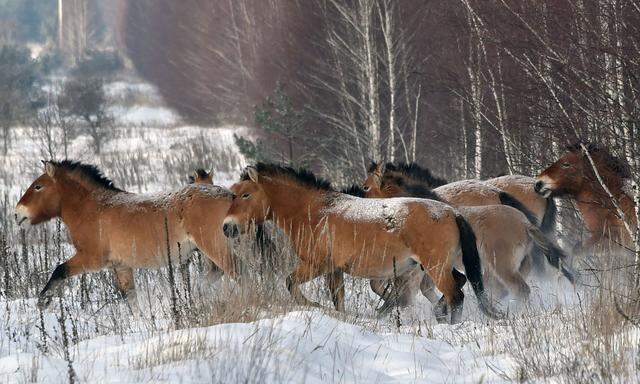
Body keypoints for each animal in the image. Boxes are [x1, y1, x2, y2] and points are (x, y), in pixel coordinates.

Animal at [17, 160, 238, 310]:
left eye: (38, 186)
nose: (17, 214)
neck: (93, 209)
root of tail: (231, 197)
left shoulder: (91, 259)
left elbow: (59, 270)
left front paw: (43, 301)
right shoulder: (121, 267)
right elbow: (131, 300)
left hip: (214, 247)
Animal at [222, 164, 502, 322]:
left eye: (245, 194)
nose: (227, 227)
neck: (314, 212)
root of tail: (452, 213)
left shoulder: (316, 265)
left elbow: (290, 283)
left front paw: (314, 306)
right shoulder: (334, 270)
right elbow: (338, 298)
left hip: (435, 267)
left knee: (456, 295)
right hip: (436, 266)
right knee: (460, 283)